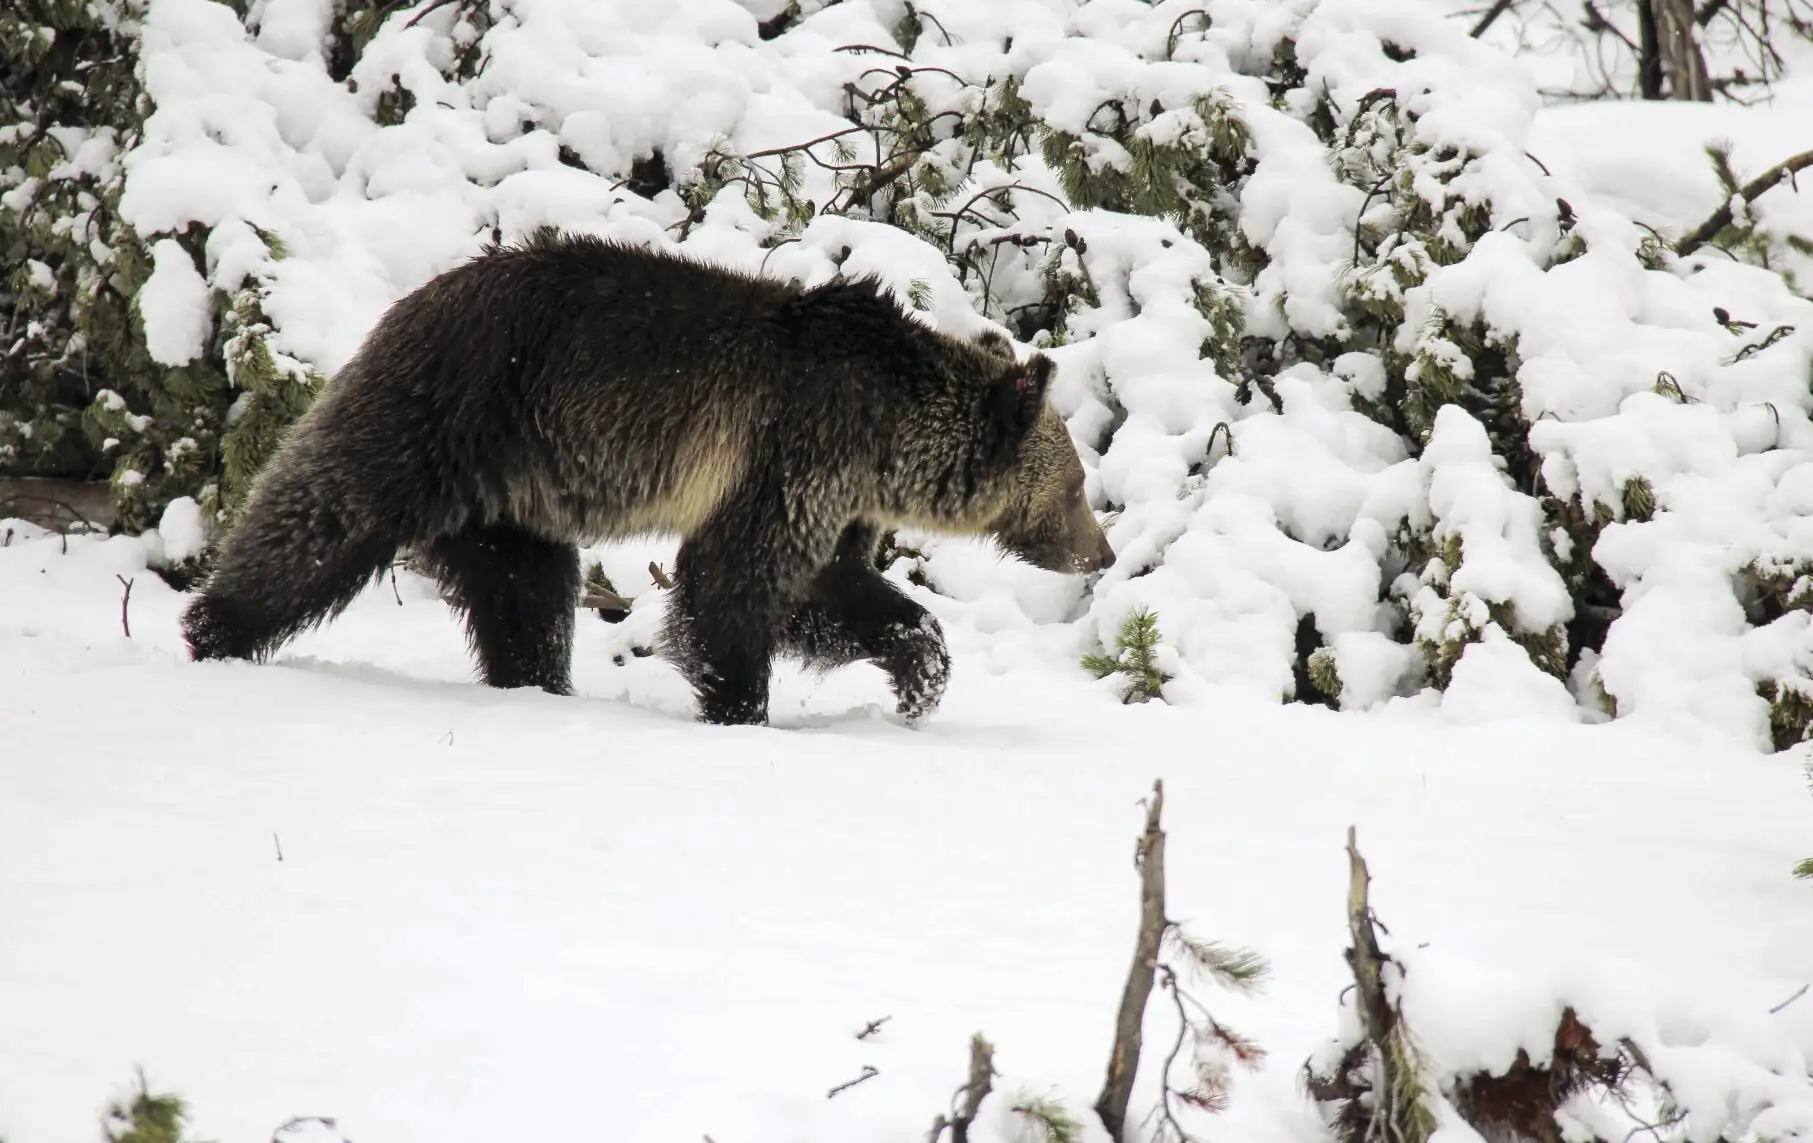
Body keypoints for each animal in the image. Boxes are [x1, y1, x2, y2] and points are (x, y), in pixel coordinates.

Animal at [179, 228, 1116, 726]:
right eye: (1074, 485)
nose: (1101, 554)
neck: (886, 432)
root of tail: (411, 297)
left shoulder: (833, 493)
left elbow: (828, 592)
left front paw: (919, 675)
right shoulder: (791, 444)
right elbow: (731, 584)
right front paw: (741, 705)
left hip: (514, 497)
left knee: (524, 594)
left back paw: (536, 683)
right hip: (447, 409)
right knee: (322, 517)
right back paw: (213, 631)